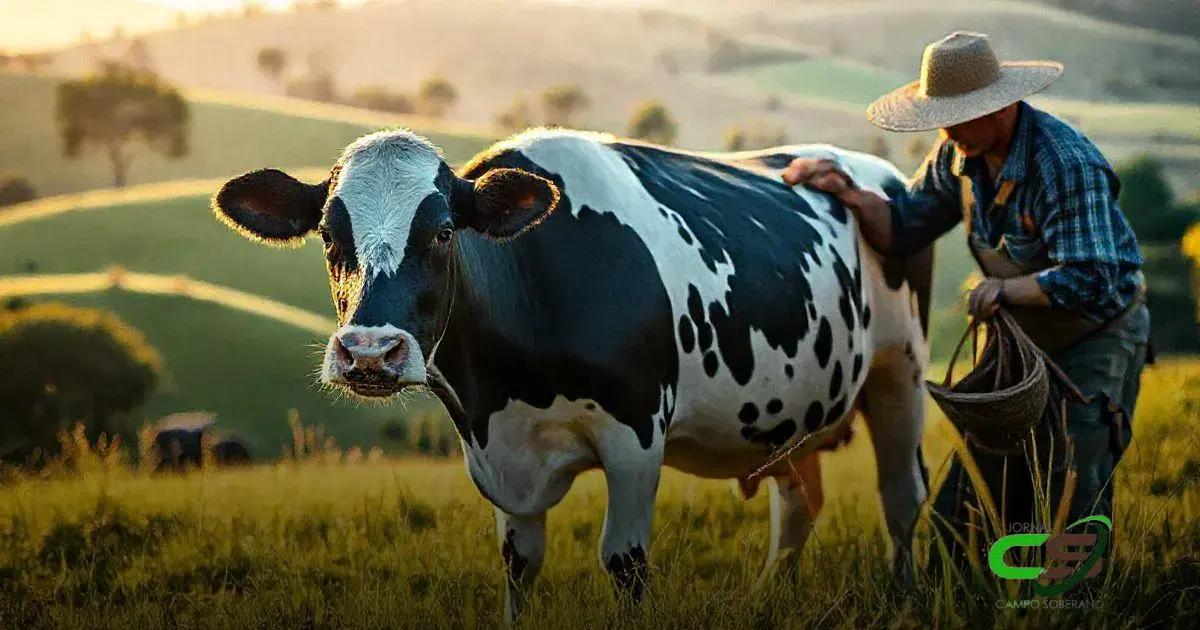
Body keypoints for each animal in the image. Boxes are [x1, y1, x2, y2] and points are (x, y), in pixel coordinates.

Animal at [211, 128, 931, 621]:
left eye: (443, 231)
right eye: (329, 236)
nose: (368, 353)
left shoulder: (636, 433)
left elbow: (625, 562)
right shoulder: (499, 455)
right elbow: (519, 566)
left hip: (901, 370)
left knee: (901, 496)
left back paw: (904, 596)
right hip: (791, 416)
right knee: (798, 505)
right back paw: (765, 599)